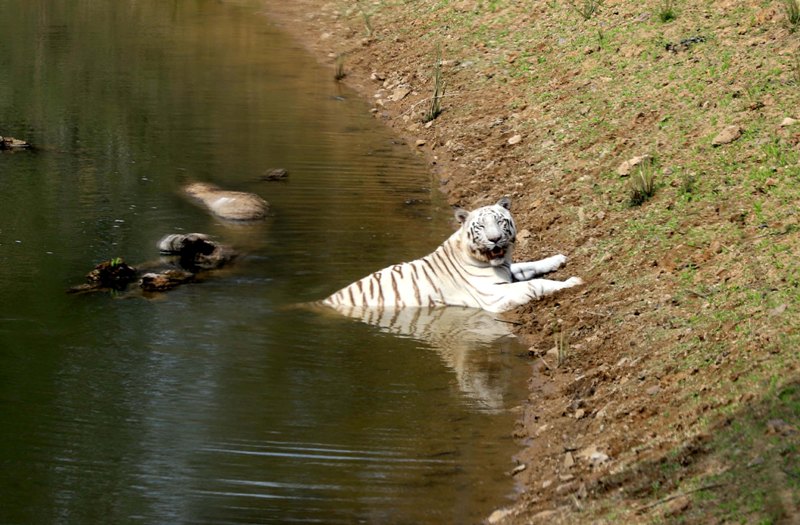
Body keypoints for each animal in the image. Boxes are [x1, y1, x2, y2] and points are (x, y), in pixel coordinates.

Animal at [321, 197, 583, 314]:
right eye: (481, 227)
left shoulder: (508, 270)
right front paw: (572, 282)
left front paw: (558, 258)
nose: (495, 239)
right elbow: (536, 284)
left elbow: (530, 266)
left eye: (500, 221)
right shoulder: (494, 296)